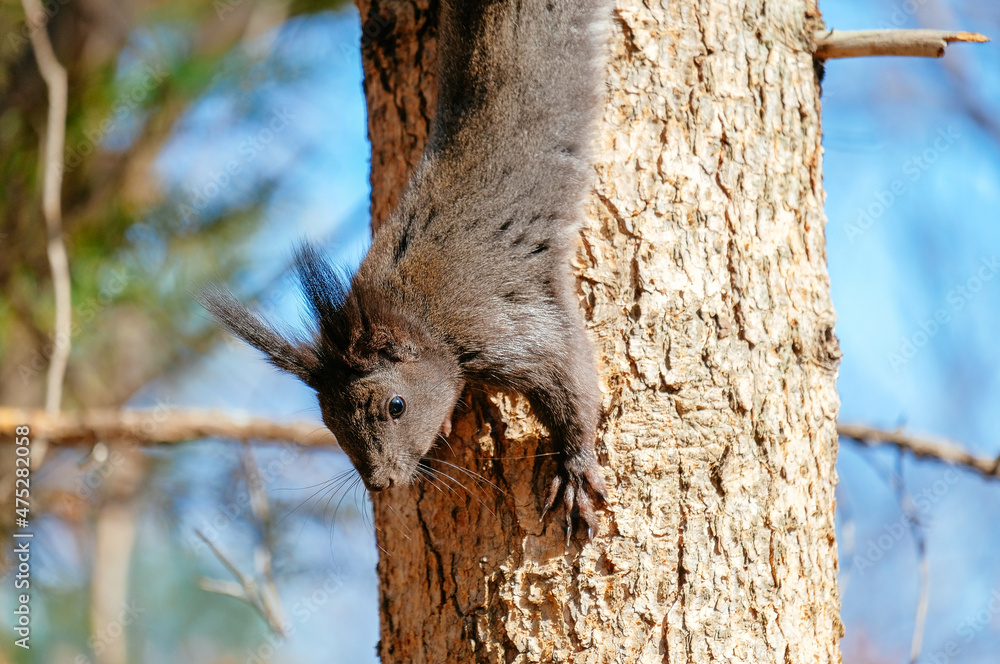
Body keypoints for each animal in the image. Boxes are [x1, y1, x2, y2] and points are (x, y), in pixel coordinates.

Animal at [204, 0, 610, 538]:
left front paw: (575, 467)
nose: (381, 483)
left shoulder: (506, 323)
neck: (415, 314)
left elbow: (569, 378)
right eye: (328, 420)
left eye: (395, 406)